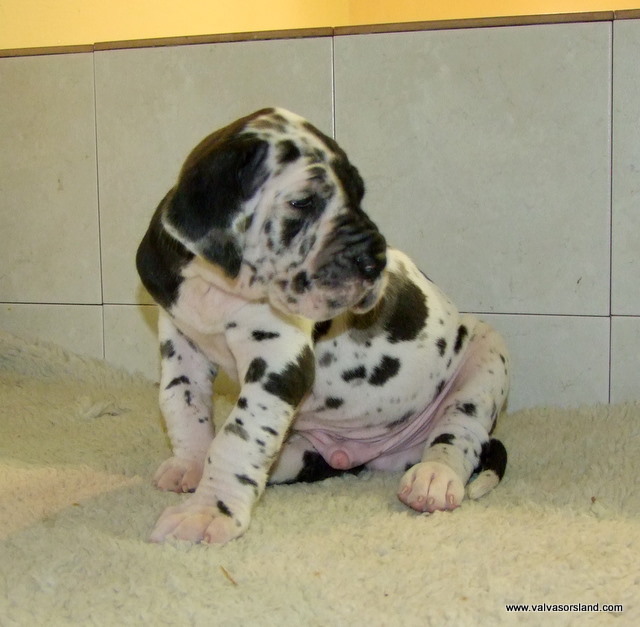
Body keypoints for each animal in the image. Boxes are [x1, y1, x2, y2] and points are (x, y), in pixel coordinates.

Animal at [136, 108, 510, 544]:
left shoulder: (279, 362)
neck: (215, 286)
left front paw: (209, 511)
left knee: (458, 433)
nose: (375, 261)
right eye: (302, 202)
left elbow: (237, 436)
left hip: (486, 358)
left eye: (359, 194)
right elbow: (183, 405)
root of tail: (376, 456)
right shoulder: (182, 346)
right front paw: (191, 466)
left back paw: (434, 478)